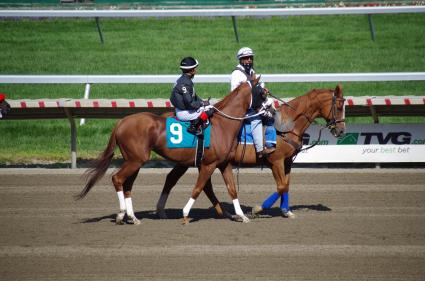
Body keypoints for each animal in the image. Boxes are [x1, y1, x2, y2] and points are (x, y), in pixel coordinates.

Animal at [74, 77, 264, 224]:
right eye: (263, 92)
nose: (268, 110)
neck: (222, 124)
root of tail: (121, 122)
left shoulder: (223, 164)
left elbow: (232, 189)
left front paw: (242, 216)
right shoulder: (208, 164)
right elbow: (198, 188)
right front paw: (185, 214)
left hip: (134, 161)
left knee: (127, 184)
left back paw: (132, 217)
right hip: (136, 160)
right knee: (117, 178)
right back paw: (121, 214)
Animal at [156, 84, 344, 218]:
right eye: (339, 106)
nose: (341, 130)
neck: (287, 124)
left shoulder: (287, 161)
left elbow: (286, 185)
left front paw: (286, 210)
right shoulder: (276, 161)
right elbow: (281, 185)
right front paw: (258, 208)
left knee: (180, 180)